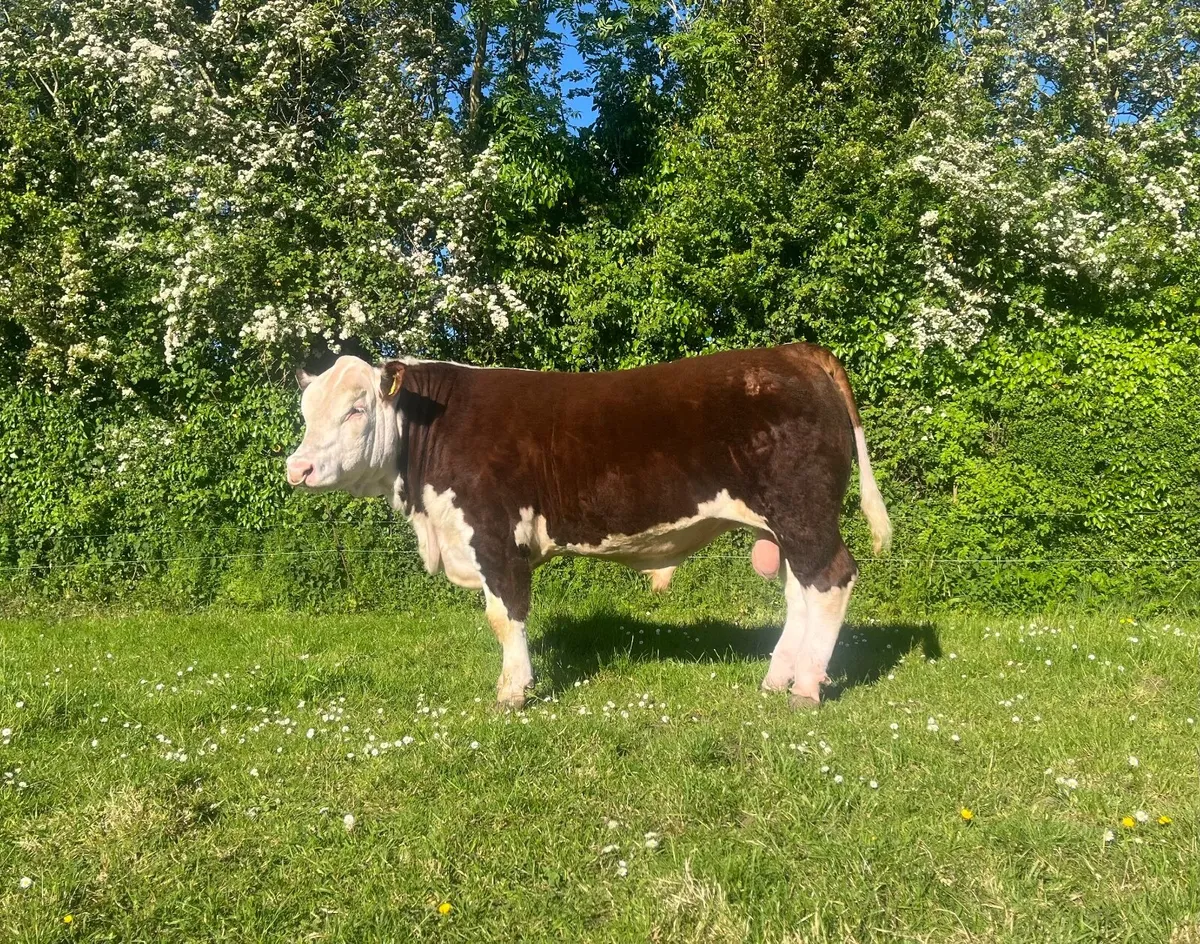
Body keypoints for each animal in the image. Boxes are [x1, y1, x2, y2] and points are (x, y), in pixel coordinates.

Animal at [286, 343, 892, 709]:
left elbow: (504, 616)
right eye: (306, 412)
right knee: (799, 592)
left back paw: (806, 687)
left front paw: (513, 691)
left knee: (830, 580)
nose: (298, 468)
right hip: (786, 524)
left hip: (803, 511)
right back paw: (776, 678)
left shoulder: (494, 535)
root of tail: (794, 351)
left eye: (356, 409)